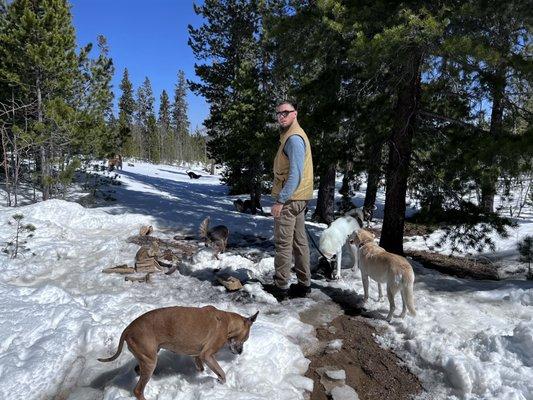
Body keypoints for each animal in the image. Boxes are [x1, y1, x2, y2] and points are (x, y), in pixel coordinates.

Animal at [100, 304, 260, 398]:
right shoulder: (207, 354)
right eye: (245, 339)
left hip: (149, 356)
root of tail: (128, 329)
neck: (227, 321)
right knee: (138, 390)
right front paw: (220, 383)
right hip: (149, 359)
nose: (240, 352)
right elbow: (222, 373)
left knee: (138, 369)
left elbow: (200, 367)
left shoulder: (198, 355)